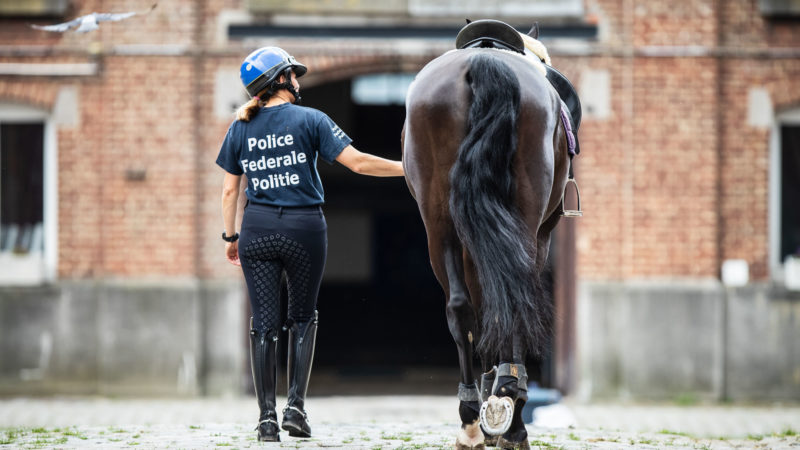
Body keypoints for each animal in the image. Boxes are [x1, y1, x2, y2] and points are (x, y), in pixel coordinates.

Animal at [404, 39, 572, 450]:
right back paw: (509, 414)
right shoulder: (540, 234)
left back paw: (472, 416)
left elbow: (480, 310)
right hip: (523, 224)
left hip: (440, 225)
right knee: (515, 300)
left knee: (461, 307)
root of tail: (484, 60)